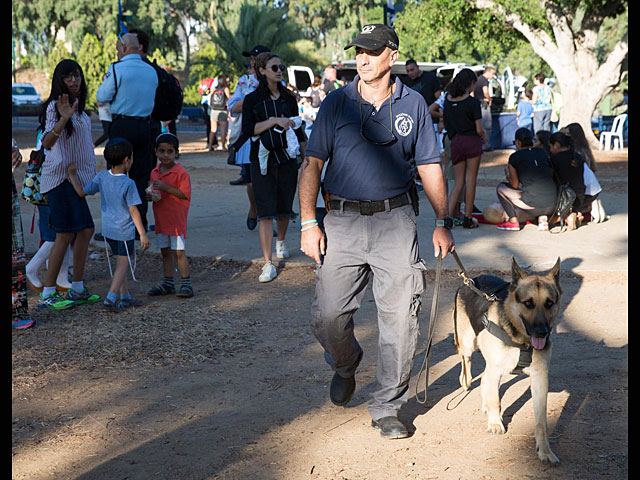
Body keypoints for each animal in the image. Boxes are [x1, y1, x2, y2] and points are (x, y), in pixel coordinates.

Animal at [452, 258, 564, 464]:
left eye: (549, 303)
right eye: (528, 303)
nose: (542, 332)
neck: (520, 339)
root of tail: (471, 280)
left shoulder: (539, 378)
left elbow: (541, 422)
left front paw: (544, 450)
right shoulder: (495, 369)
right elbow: (495, 399)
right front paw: (495, 423)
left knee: (484, 379)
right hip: (468, 345)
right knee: (467, 366)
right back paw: (466, 381)